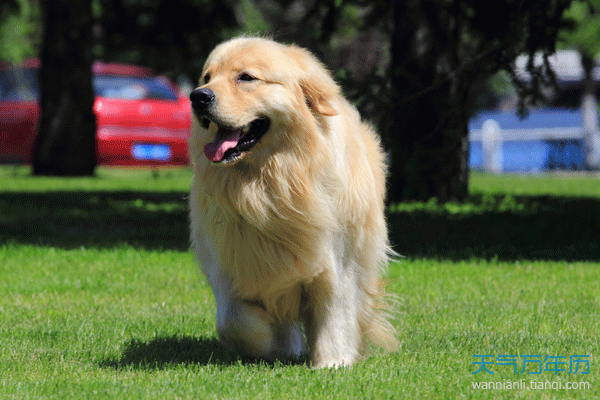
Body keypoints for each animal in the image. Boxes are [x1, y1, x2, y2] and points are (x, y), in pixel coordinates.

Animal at [190, 37, 396, 368]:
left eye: (246, 77)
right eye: (207, 77)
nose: (198, 97)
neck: (271, 183)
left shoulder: (338, 260)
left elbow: (335, 311)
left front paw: (332, 362)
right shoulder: (230, 262)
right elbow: (233, 320)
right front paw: (272, 345)